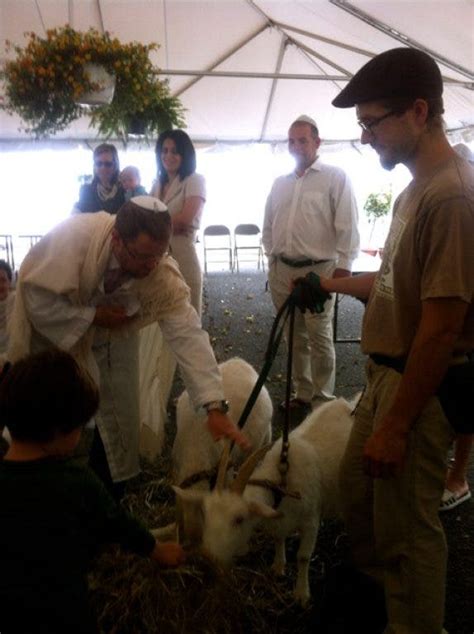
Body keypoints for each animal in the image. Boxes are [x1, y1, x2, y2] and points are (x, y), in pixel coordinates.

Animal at [174, 396, 356, 604]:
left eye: (239, 519)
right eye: (206, 515)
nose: (206, 557)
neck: (281, 485)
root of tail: (347, 404)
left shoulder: (310, 521)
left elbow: (303, 557)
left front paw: (301, 593)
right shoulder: (278, 518)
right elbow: (278, 537)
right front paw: (278, 566)